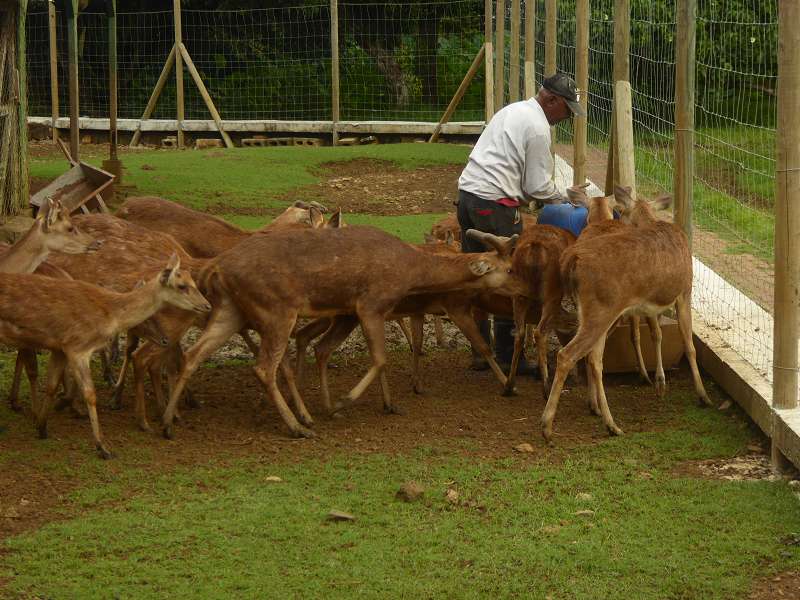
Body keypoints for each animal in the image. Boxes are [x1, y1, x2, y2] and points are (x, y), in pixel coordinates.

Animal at [0, 254, 209, 460]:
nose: (206, 305)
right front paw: (103, 447)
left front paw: (42, 428)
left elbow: (51, 385)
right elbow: (90, 394)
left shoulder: (60, 347)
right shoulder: (78, 347)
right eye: (182, 286)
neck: (109, 313)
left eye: (194, 282)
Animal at [161, 223, 524, 438]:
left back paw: (167, 422)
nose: (523, 290)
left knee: (193, 354)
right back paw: (298, 425)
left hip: (230, 310)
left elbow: (340, 352)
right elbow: (380, 358)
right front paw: (341, 402)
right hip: (275, 310)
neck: (410, 270)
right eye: (508, 268)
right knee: (264, 367)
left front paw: (378, 404)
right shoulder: (371, 303)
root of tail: (216, 267)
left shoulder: (351, 312)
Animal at [540, 195, 708, 442]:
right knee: (567, 354)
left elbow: (656, 334)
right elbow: (689, 344)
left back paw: (607, 420)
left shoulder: (649, 307)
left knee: (592, 357)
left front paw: (659, 383)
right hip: (602, 310)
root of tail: (572, 260)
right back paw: (547, 426)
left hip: (594, 312)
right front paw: (702, 395)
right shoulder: (684, 291)